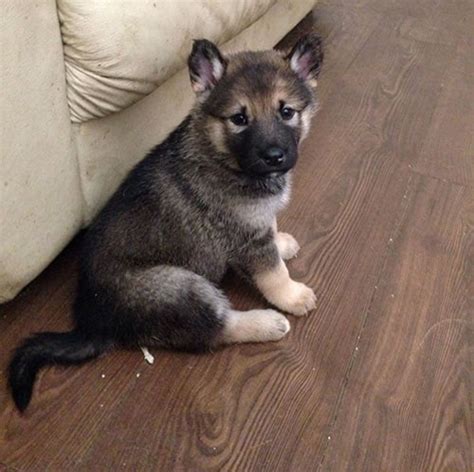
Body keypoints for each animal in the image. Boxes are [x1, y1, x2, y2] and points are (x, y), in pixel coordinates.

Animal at [9, 34, 324, 410]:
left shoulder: (256, 222)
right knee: (214, 329)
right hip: (179, 288)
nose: (274, 156)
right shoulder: (247, 238)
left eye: (286, 112)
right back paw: (266, 323)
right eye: (239, 119)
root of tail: (96, 323)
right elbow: (273, 274)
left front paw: (283, 243)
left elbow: (272, 232)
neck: (222, 155)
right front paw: (292, 296)